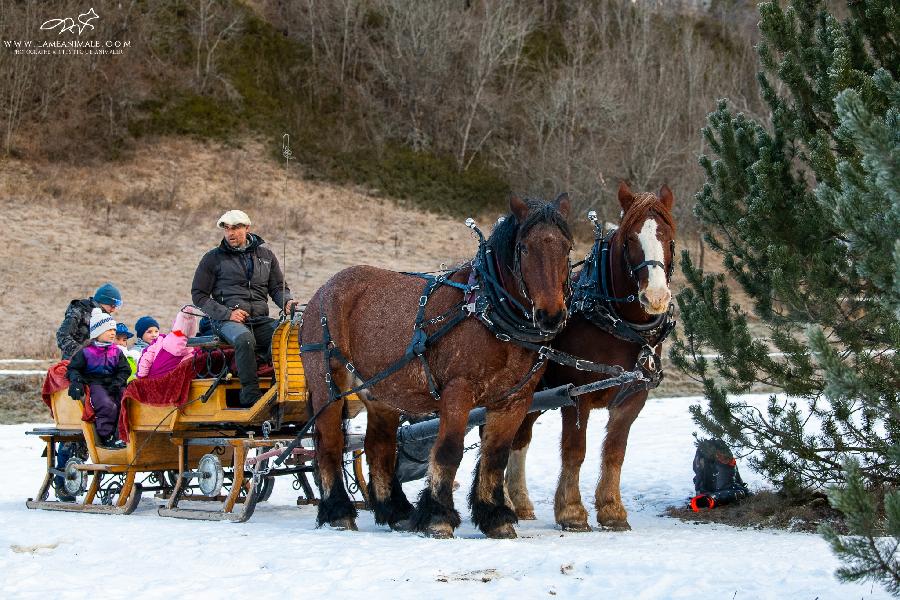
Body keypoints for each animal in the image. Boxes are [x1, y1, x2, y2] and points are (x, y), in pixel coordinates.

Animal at [300, 196, 568, 540]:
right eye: (524, 248)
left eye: (566, 248)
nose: (551, 315)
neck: (488, 313)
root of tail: (323, 290)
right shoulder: (458, 391)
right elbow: (448, 451)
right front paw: (438, 517)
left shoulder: (514, 401)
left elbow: (496, 457)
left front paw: (496, 517)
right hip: (327, 385)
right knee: (330, 445)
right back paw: (339, 512)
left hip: (381, 391)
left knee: (379, 448)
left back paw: (397, 512)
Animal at [506, 182, 676, 528]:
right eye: (630, 239)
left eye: (668, 238)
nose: (655, 297)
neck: (618, 321)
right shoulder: (575, 395)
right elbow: (575, 450)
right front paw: (571, 510)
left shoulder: (633, 397)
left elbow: (615, 451)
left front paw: (612, 509)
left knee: (519, 437)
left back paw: (519, 502)